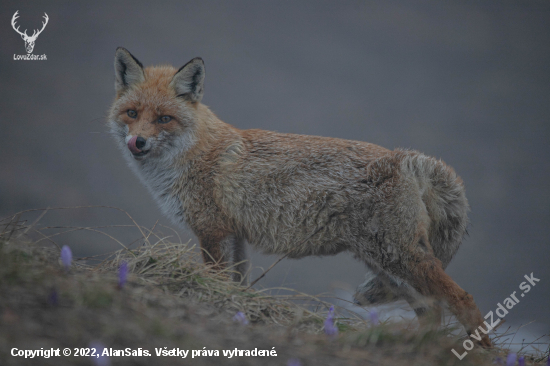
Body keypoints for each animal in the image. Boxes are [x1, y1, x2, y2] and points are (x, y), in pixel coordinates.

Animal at [106, 48, 492, 346]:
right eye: (132, 114)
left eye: (164, 119)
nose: (137, 142)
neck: (192, 156)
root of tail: (404, 157)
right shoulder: (234, 236)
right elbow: (238, 286)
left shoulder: (212, 231)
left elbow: (217, 280)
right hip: (387, 264)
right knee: (433, 312)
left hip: (398, 257)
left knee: (462, 299)